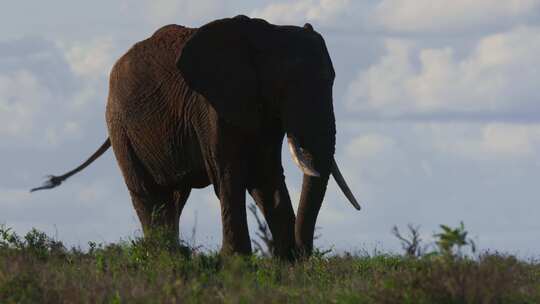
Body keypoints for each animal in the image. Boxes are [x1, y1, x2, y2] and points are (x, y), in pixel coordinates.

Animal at [29, 16, 358, 258]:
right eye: (285, 87)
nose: (303, 252)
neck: (265, 34)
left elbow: (266, 177)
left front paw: (285, 263)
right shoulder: (210, 106)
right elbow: (230, 175)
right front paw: (237, 262)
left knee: (174, 197)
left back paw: (174, 256)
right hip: (119, 126)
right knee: (148, 195)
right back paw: (162, 258)